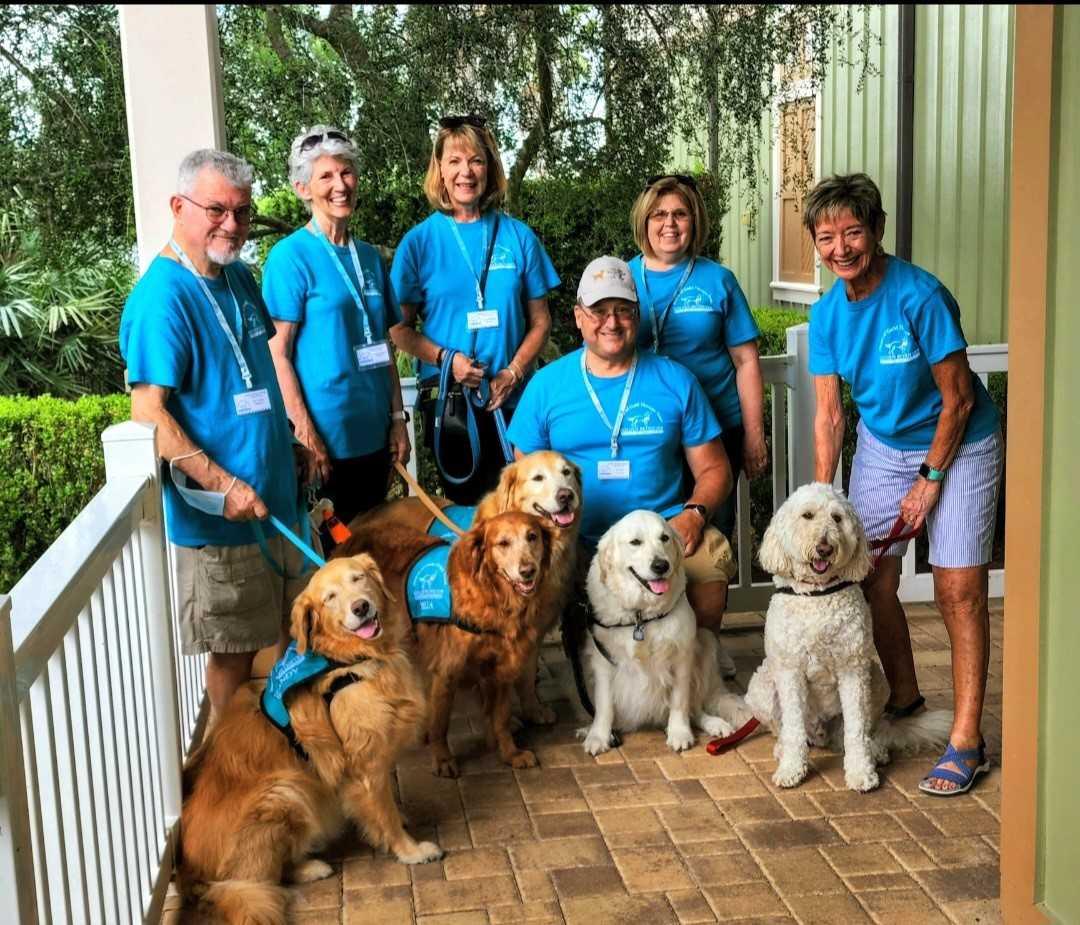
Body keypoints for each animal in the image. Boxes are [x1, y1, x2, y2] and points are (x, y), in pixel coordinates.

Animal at [578, 510, 747, 756]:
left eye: (664, 538)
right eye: (635, 542)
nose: (661, 565)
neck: (640, 616)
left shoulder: (682, 657)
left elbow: (680, 701)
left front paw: (679, 733)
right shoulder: (603, 660)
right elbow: (604, 705)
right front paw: (598, 735)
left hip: (705, 641)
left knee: (695, 708)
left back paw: (715, 724)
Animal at [747, 479, 950, 791]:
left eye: (837, 518)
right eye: (807, 516)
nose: (824, 548)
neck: (818, 595)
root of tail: (821, 732)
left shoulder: (852, 670)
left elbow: (855, 730)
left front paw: (860, 772)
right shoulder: (790, 672)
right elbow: (792, 726)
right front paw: (792, 768)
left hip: (875, 680)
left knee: (865, 729)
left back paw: (875, 750)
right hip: (762, 685)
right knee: (786, 728)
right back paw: (785, 748)